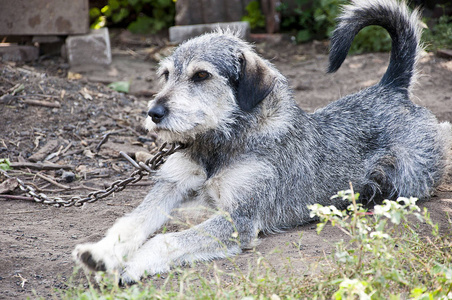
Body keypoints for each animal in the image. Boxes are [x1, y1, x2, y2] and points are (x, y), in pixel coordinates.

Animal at [72, 0, 450, 284]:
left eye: (201, 75)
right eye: (166, 75)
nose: (154, 112)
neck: (220, 144)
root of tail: (391, 88)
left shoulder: (239, 219)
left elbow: (165, 238)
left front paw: (130, 265)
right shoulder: (170, 186)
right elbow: (133, 221)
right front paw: (101, 253)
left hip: (410, 177)